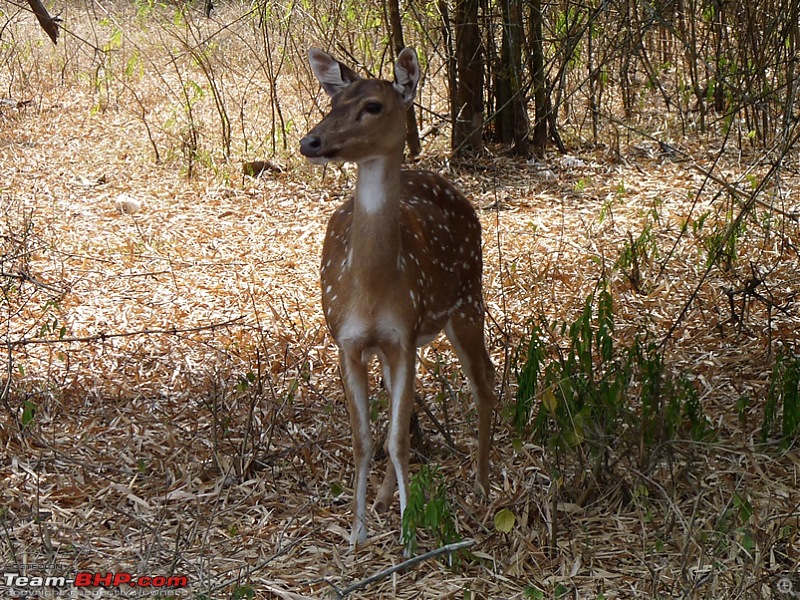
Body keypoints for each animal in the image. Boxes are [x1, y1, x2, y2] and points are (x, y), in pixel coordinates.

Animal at [300, 48, 494, 548]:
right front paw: (357, 531)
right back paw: (386, 499)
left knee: (483, 379)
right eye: (334, 102)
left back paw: (482, 481)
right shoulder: (349, 342)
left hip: (469, 298)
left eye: (373, 106)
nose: (311, 141)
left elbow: (399, 439)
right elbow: (366, 439)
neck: (371, 290)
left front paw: (408, 534)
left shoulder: (404, 336)